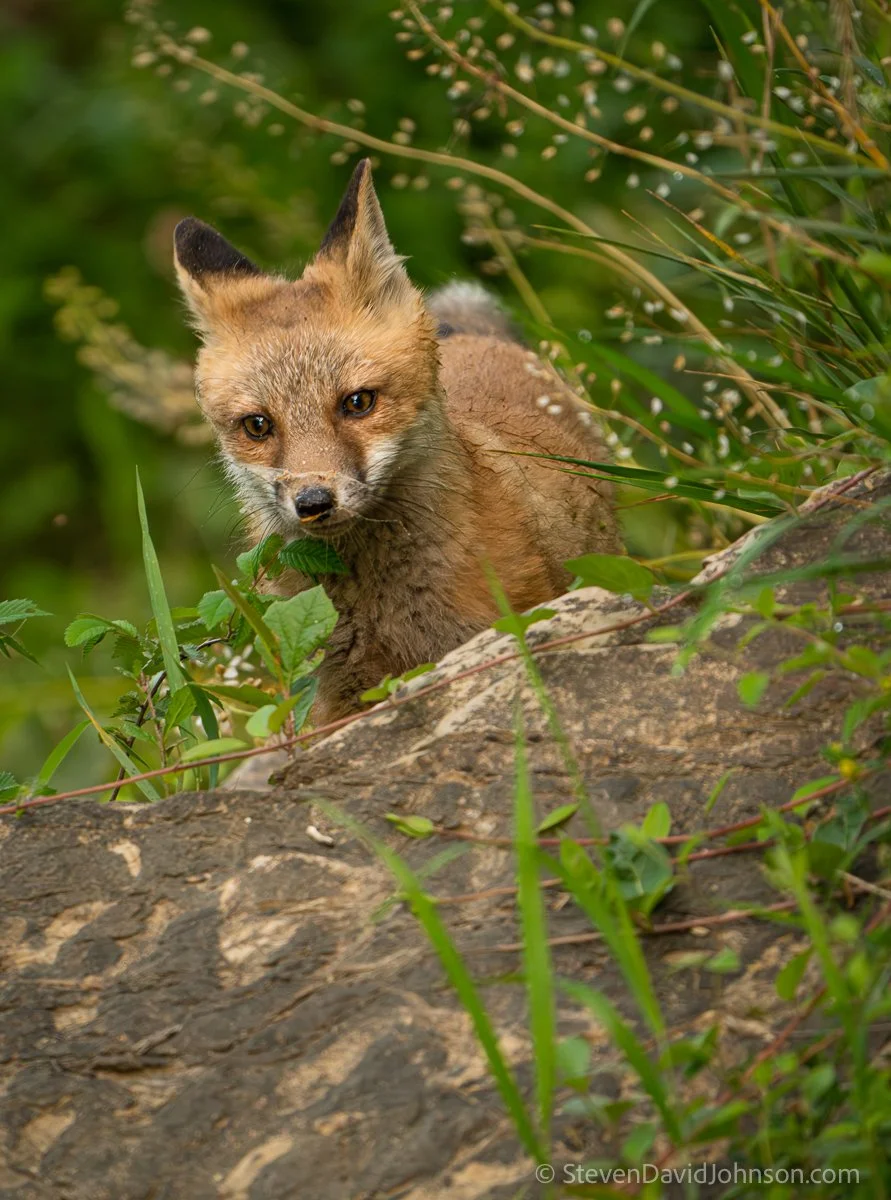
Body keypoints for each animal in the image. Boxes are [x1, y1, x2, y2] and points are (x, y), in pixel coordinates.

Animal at [174, 159, 620, 723]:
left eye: (358, 402)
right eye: (257, 426)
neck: (383, 608)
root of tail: (478, 337)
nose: (313, 502)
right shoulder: (332, 696)